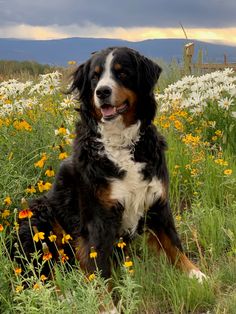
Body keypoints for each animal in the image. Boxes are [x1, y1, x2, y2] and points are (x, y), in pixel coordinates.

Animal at [18, 46, 206, 284]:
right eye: (95, 77)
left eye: (122, 73)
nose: (102, 92)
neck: (120, 142)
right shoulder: (99, 216)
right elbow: (100, 268)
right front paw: (105, 295)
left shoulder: (157, 201)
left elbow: (173, 243)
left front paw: (195, 274)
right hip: (39, 215)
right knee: (40, 274)